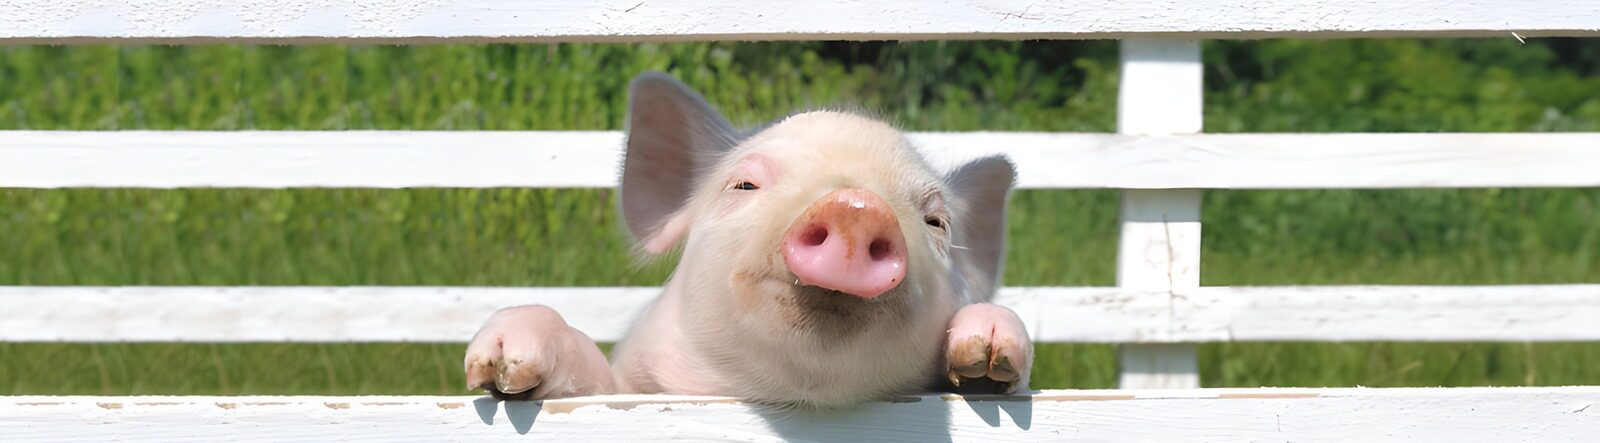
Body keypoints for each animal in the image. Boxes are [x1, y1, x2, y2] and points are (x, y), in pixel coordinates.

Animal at [463, 72, 1031, 409]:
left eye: (936, 222)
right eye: (744, 185)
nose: (856, 205)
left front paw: (989, 352)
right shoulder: (630, 386)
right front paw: (501, 362)